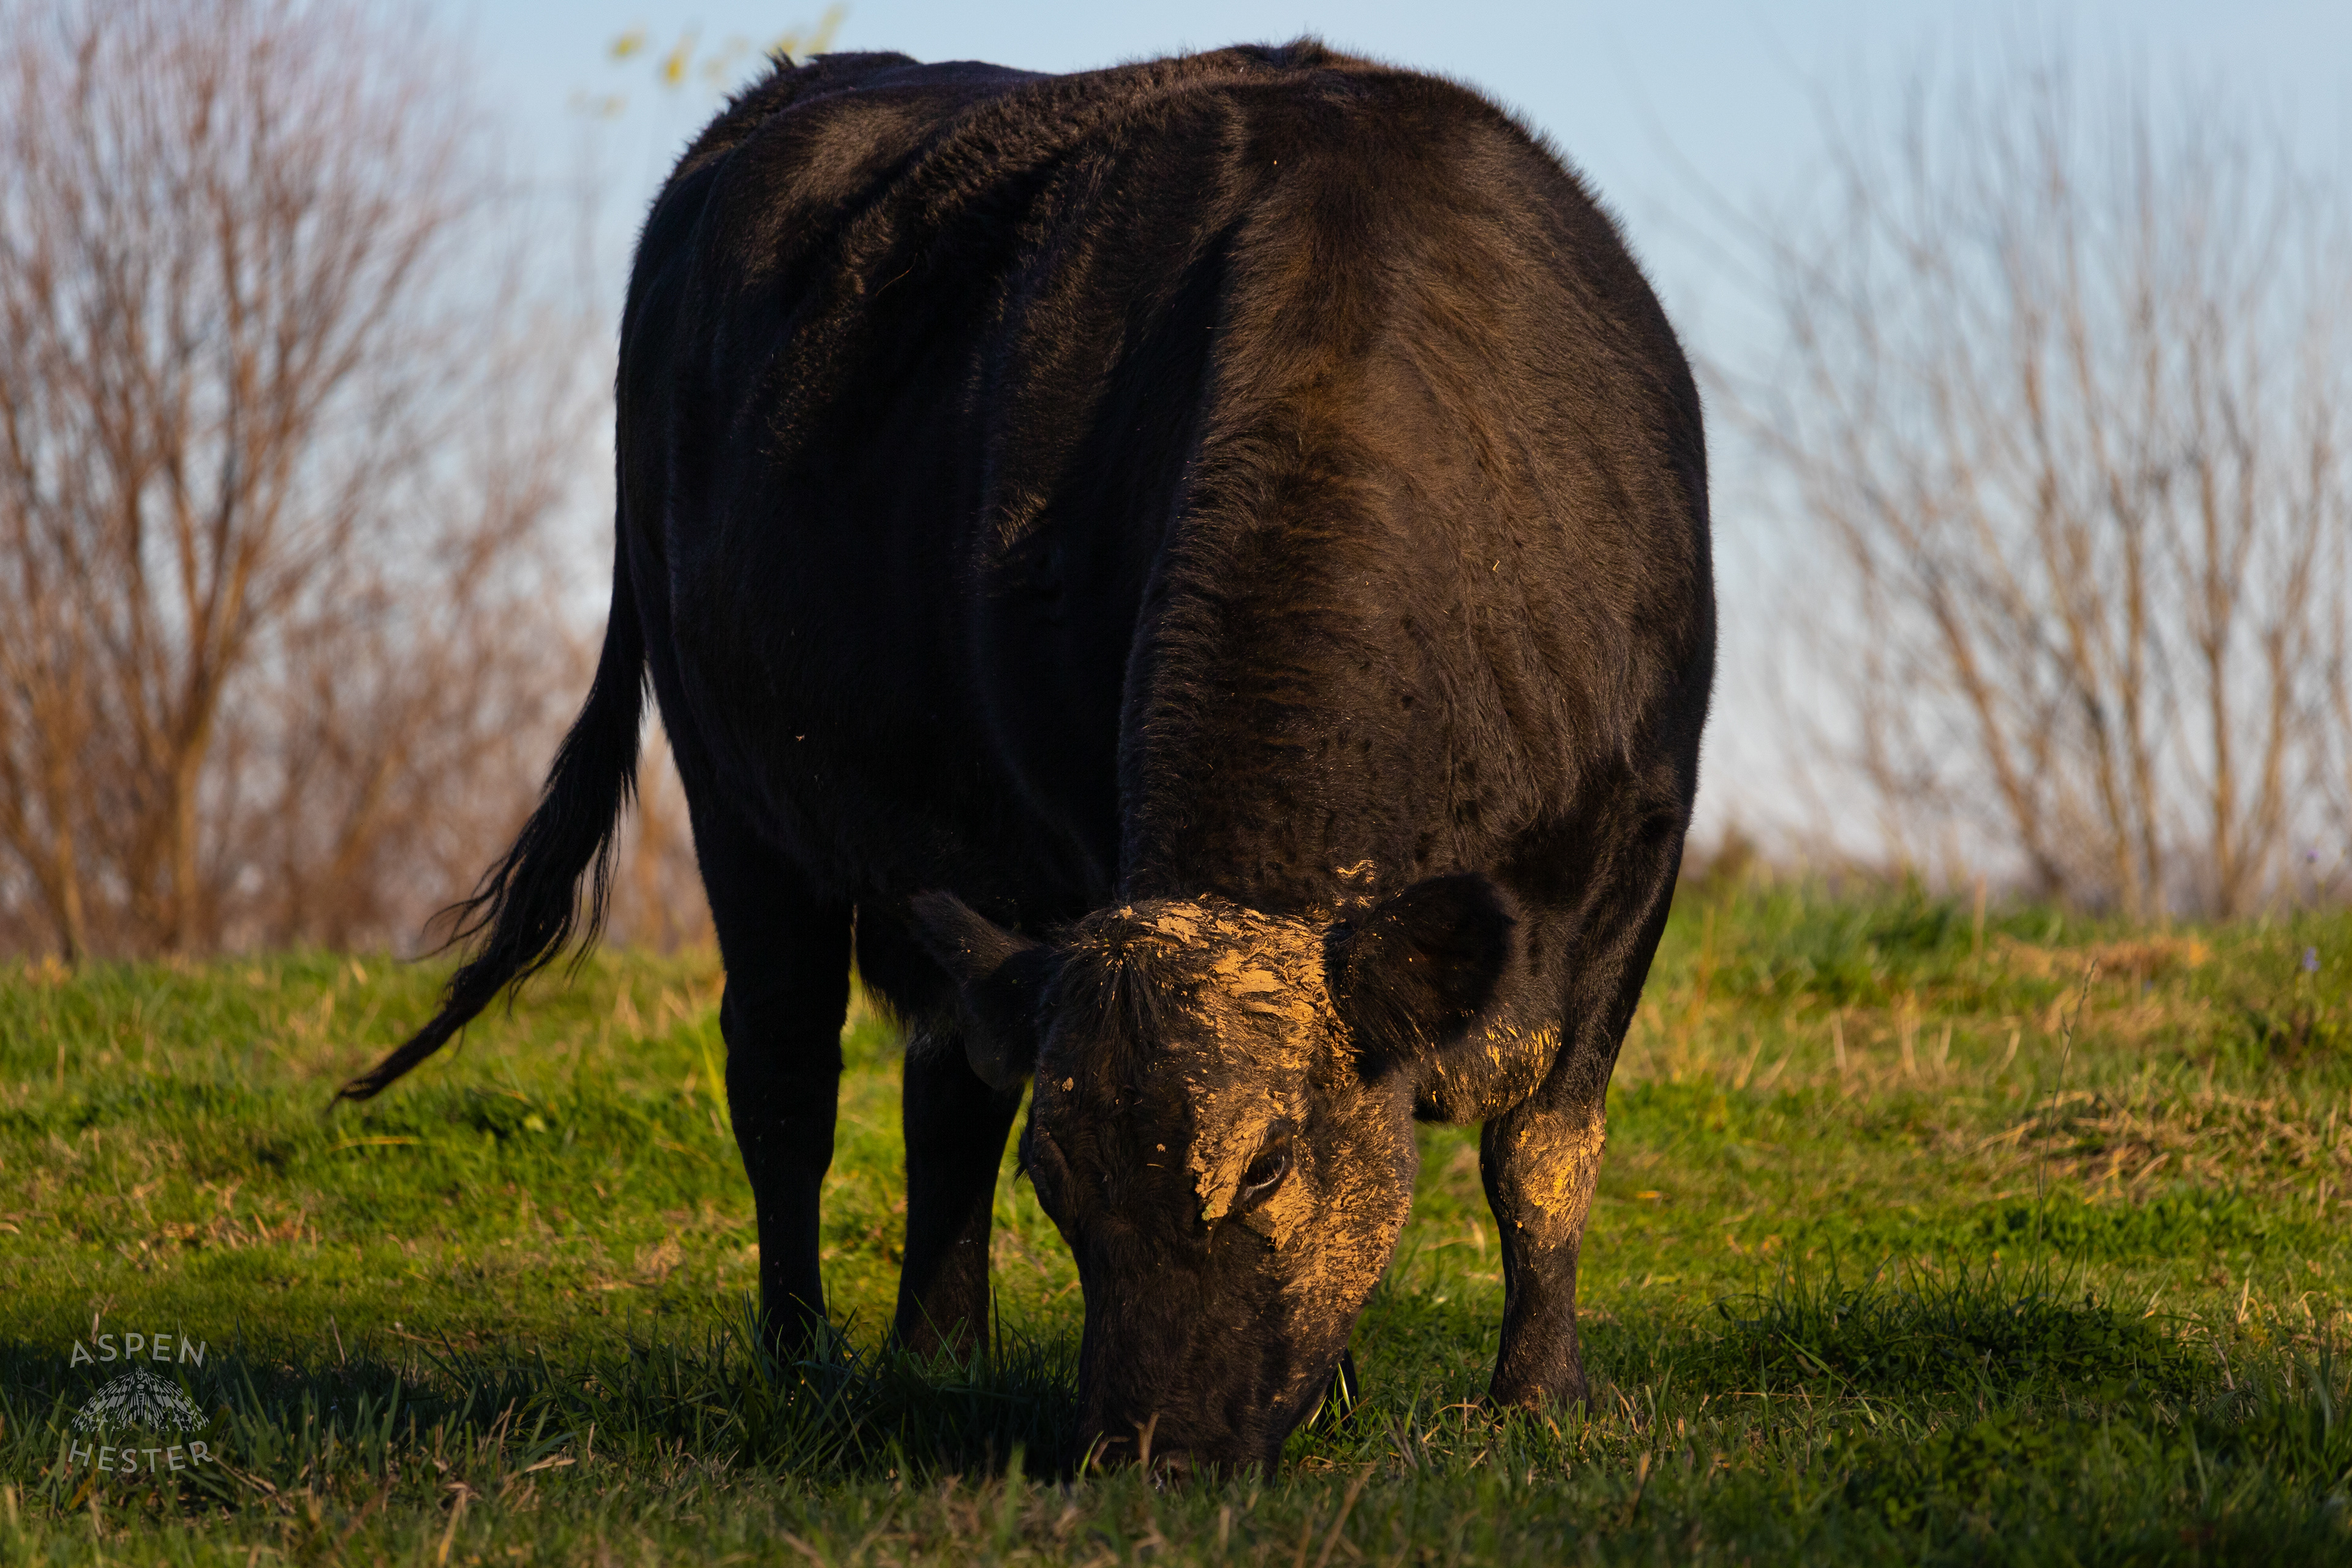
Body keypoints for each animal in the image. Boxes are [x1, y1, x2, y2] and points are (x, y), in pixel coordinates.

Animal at [341, 40, 1714, 1475]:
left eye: (1269, 1164)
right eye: (1061, 1185)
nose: (1150, 1448)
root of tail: (791, 92)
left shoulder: (1645, 837)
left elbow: (1544, 1152)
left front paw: (1537, 1396)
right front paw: (1346, 1400)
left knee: (944, 1078)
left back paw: (940, 1352)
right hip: (740, 796)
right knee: (787, 1073)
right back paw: (802, 1356)